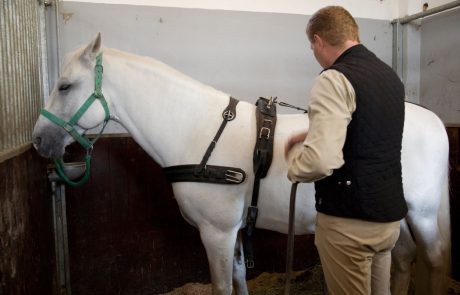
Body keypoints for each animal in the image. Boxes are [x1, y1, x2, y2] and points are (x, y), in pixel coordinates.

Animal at [32, 35, 450, 295]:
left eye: (65, 86)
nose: (38, 141)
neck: (197, 131)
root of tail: (433, 119)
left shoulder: (215, 232)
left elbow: (221, 284)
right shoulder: (230, 231)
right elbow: (237, 278)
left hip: (423, 213)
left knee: (433, 258)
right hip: (395, 215)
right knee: (402, 257)